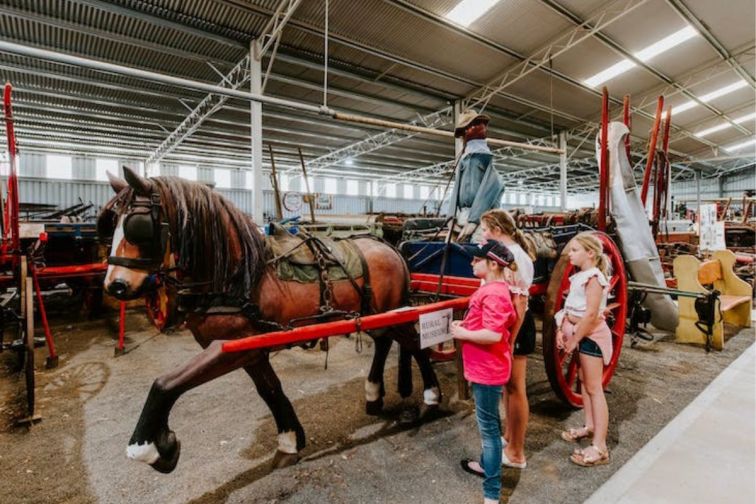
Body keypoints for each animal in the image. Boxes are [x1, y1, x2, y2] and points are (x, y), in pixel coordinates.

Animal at [99, 168, 442, 472]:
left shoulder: (233, 348)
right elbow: (270, 390)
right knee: (385, 343)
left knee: (416, 344)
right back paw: (374, 395)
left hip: (395, 314)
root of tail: (390, 247)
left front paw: (153, 447)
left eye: (138, 225)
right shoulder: (251, 351)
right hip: (374, 316)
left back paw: (431, 398)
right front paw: (289, 440)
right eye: (110, 224)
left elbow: (166, 384)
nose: (115, 286)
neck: (238, 276)